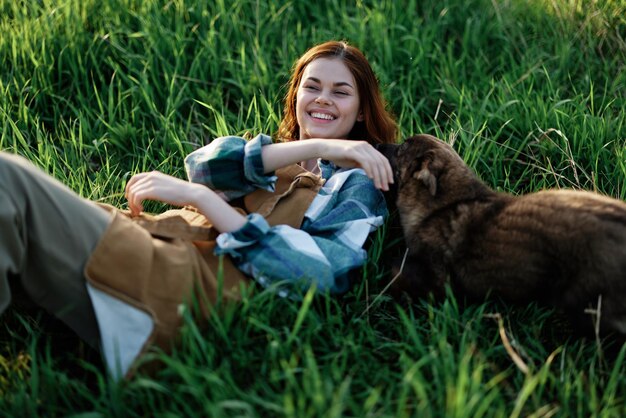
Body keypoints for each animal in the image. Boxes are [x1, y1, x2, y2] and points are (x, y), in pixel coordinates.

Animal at [376, 136, 624, 338]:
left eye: (401, 148)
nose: (376, 145)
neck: (441, 204)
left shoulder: (434, 275)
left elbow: (396, 270)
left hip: (586, 301)